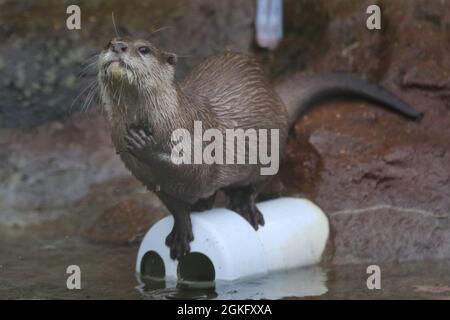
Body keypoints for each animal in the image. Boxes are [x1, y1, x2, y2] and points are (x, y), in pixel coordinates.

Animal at [97, 37, 422, 258]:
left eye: (143, 49)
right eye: (110, 42)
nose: (117, 46)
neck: (164, 122)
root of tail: (278, 99)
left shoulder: (197, 142)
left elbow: (193, 169)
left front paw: (144, 145)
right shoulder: (147, 179)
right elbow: (174, 205)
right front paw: (181, 230)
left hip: (272, 148)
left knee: (256, 185)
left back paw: (246, 207)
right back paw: (204, 205)